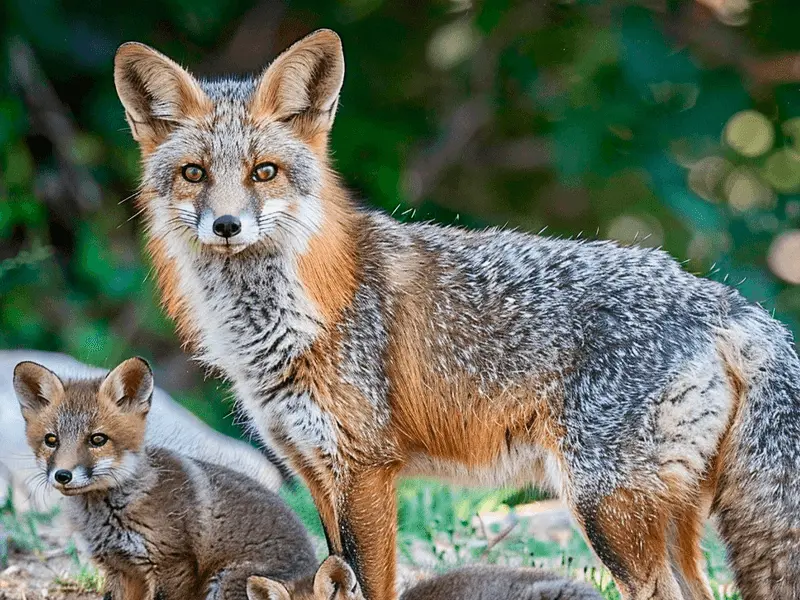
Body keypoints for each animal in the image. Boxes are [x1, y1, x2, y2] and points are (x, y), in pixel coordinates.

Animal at [13, 357, 317, 600]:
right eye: (51, 440)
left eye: (97, 439)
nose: (62, 475)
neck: (113, 515)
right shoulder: (123, 570)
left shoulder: (174, 564)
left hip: (227, 582)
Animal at [113, 28, 800, 600]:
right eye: (194, 174)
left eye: (264, 172)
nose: (227, 226)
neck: (287, 322)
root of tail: (725, 301)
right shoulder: (313, 469)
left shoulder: (366, 471)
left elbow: (367, 585)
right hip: (665, 518)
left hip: (605, 510)